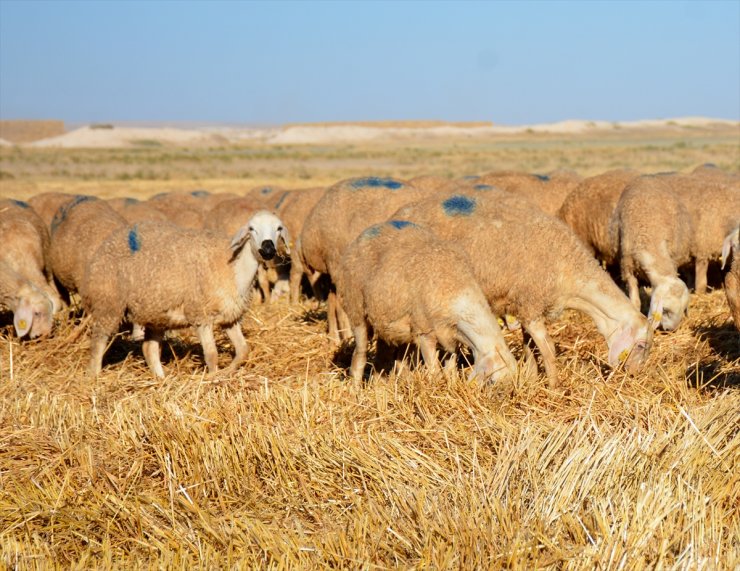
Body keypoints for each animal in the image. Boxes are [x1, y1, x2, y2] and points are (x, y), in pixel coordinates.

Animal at [81, 212, 290, 378]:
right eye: (252, 228)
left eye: (279, 228)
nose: (268, 248)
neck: (234, 269)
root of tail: (107, 243)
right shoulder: (200, 315)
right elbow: (212, 355)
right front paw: (213, 378)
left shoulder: (230, 317)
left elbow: (243, 350)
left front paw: (227, 372)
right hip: (108, 303)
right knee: (98, 341)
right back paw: (94, 376)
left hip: (155, 312)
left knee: (149, 349)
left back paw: (162, 380)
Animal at [298, 177, 428, 342]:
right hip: (338, 263)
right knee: (340, 305)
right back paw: (347, 336)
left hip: (335, 270)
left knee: (332, 301)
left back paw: (334, 338)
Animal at [334, 220, 516, 384]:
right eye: (492, 381)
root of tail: (366, 232)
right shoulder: (424, 332)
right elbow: (434, 370)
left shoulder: (449, 338)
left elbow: (450, 368)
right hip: (356, 309)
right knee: (360, 355)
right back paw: (356, 389)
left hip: (387, 323)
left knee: (384, 359)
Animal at [394, 190, 652, 386]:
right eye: (641, 345)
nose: (634, 375)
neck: (570, 272)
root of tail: (399, 213)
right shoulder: (531, 305)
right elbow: (548, 349)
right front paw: (553, 386)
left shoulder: (527, 307)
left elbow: (530, 345)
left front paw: (531, 376)